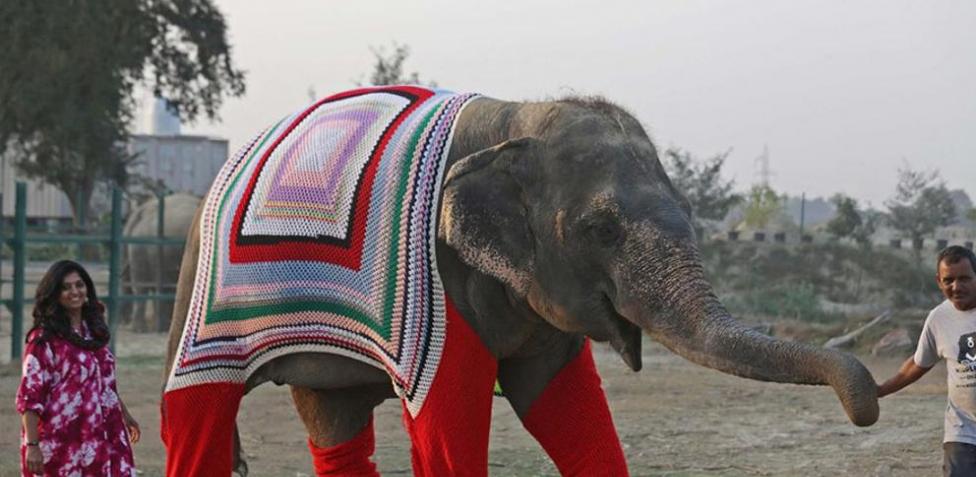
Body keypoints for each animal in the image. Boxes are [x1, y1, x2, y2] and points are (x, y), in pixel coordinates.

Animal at [162, 87, 878, 476]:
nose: (866, 404)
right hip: (203, 283)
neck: (518, 118)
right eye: (602, 231)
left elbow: (569, 411)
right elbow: (448, 425)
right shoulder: (438, 284)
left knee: (333, 423)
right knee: (195, 409)